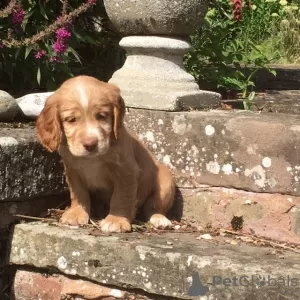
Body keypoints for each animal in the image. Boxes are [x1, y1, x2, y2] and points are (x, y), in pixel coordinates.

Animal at [36, 76, 175, 233]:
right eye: (71, 120)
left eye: (101, 116)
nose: (90, 144)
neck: (92, 159)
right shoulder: (72, 170)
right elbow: (79, 193)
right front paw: (76, 213)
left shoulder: (126, 171)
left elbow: (121, 196)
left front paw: (116, 220)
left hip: (165, 182)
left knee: (154, 206)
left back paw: (160, 219)